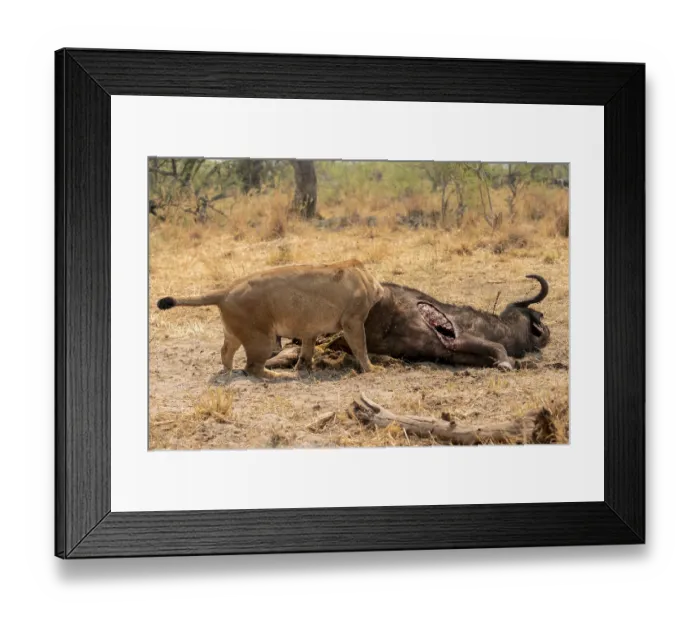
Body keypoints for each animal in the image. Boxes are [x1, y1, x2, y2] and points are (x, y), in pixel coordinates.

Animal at [156, 259, 384, 379]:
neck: (363, 275)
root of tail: (226, 290)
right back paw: (279, 376)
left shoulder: (309, 328)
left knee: (225, 351)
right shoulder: (352, 321)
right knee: (252, 368)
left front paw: (303, 368)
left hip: (234, 333)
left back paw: (227, 371)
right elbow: (361, 347)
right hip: (262, 339)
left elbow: (306, 350)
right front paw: (372, 369)